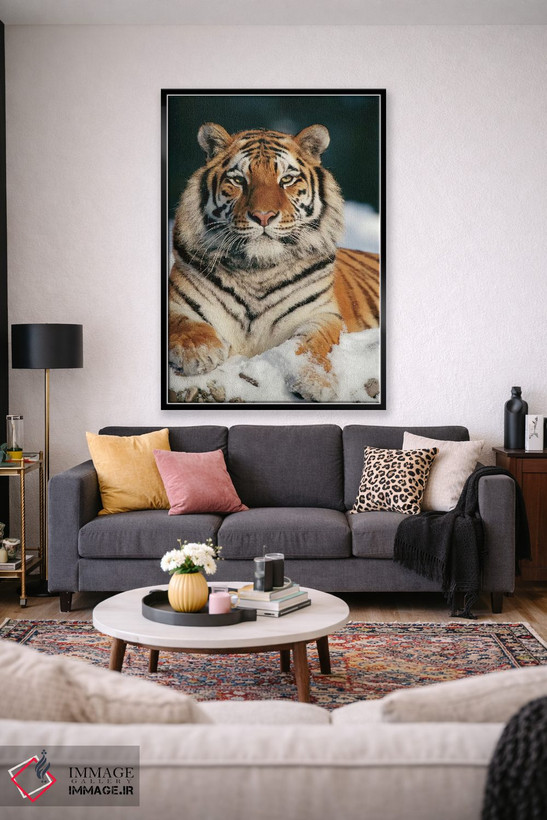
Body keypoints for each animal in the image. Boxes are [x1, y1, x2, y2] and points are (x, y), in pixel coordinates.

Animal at [169, 122, 380, 402]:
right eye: (239, 180)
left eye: (286, 180)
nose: (263, 216)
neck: (257, 269)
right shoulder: (176, 300)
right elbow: (181, 321)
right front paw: (198, 351)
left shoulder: (322, 314)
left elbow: (314, 344)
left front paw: (315, 382)